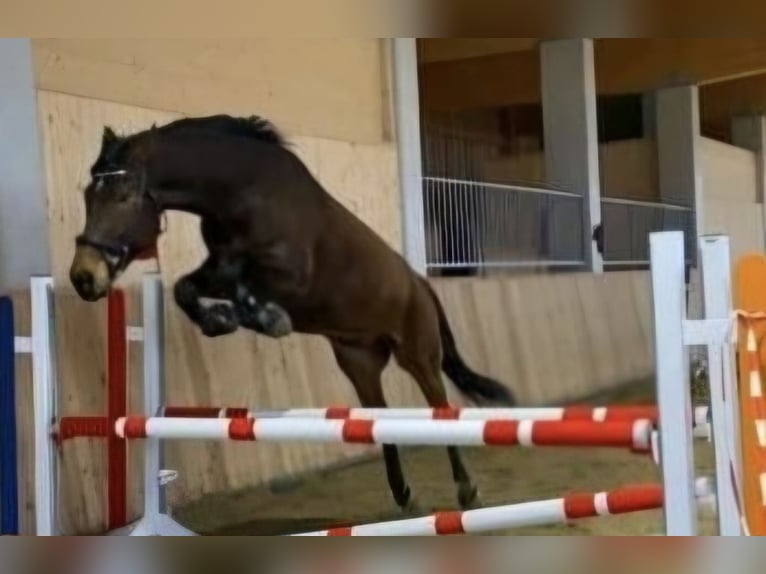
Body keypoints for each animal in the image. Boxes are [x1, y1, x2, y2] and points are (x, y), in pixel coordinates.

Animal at [69, 114, 516, 513]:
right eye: (88, 196)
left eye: (123, 197)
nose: (83, 278)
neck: (244, 193)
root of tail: (420, 283)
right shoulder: (217, 269)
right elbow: (187, 288)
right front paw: (220, 320)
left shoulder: (289, 278)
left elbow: (244, 286)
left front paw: (267, 320)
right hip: (359, 361)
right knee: (378, 416)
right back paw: (404, 495)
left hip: (419, 355)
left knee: (441, 409)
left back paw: (467, 491)